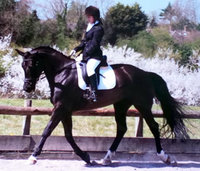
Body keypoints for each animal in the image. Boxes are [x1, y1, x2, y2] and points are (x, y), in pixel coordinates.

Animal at [16, 46, 189, 166]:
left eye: (31, 65)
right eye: (22, 66)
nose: (27, 88)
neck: (62, 74)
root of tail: (146, 74)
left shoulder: (60, 108)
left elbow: (47, 131)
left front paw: (33, 157)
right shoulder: (65, 110)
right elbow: (68, 135)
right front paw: (86, 157)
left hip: (142, 105)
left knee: (153, 127)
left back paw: (165, 157)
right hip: (121, 105)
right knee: (122, 129)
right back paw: (107, 158)